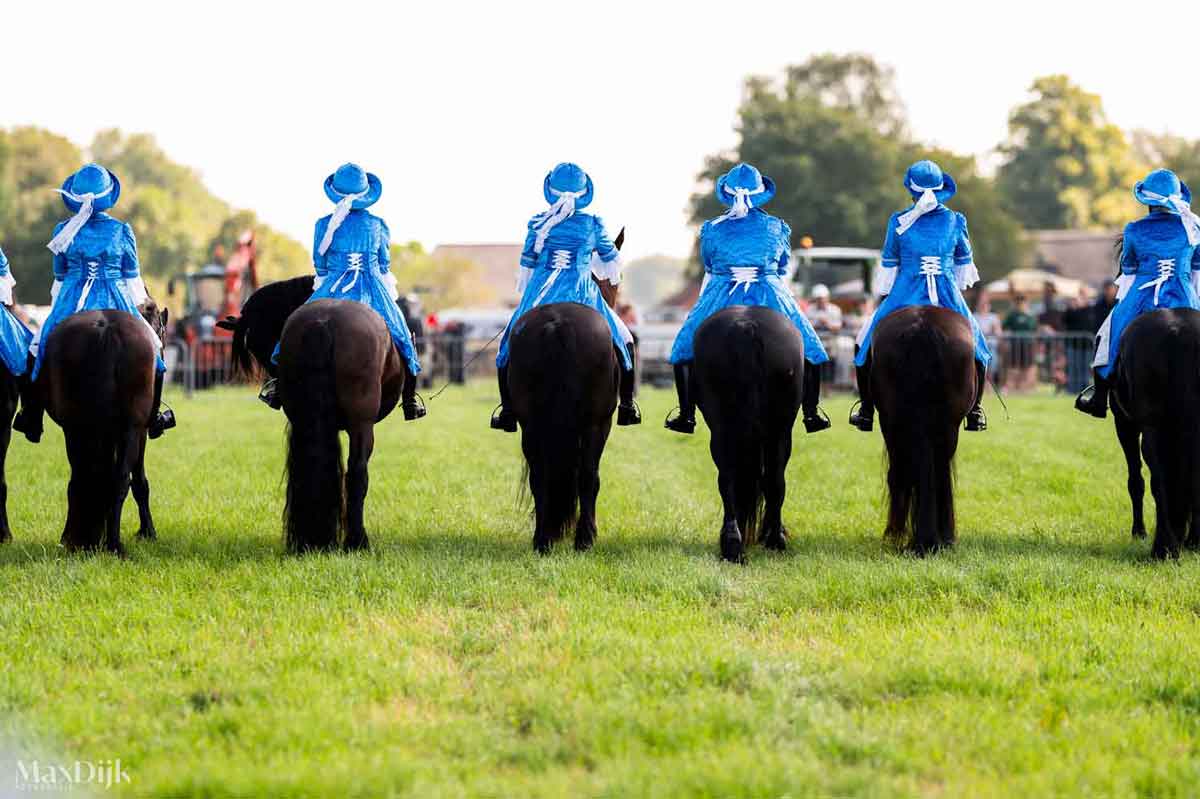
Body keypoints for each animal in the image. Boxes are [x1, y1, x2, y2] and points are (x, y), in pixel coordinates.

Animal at [696, 304, 806, 559]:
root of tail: (747, 325)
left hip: (729, 430)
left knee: (731, 477)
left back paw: (736, 542)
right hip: (778, 431)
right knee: (772, 479)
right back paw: (770, 539)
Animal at [868, 304, 979, 554]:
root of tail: (923, 326)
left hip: (896, 424)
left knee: (904, 473)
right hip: (946, 427)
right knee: (939, 473)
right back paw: (938, 536)